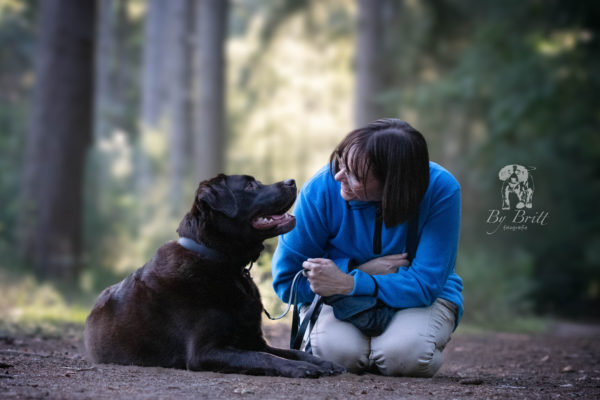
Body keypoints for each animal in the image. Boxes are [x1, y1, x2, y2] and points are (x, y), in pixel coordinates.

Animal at [86, 175, 344, 378]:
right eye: (250, 185)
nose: (291, 181)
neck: (223, 263)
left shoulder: (255, 340)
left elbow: (291, 351)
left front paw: (321, 362)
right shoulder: (205, 352)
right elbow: (262, 358)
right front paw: (299, 368)